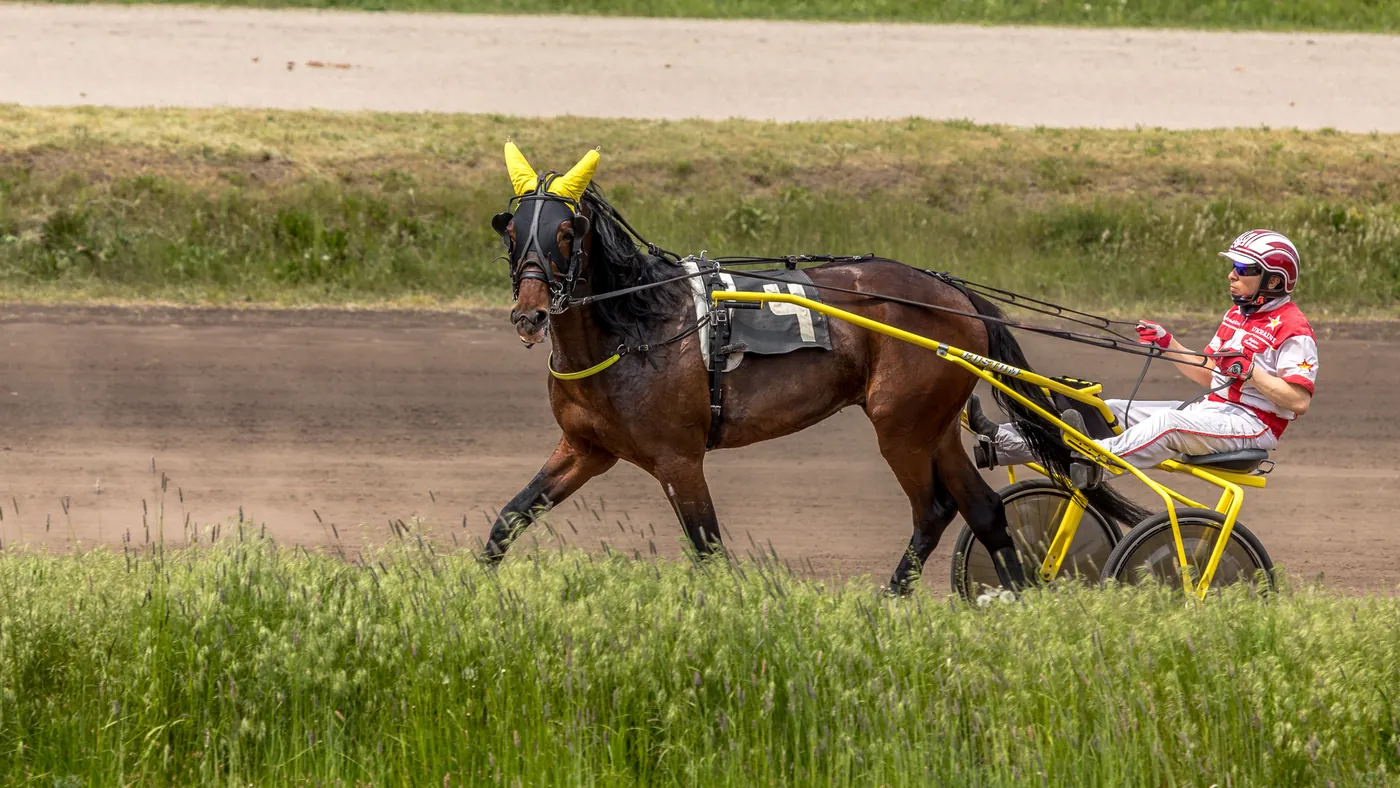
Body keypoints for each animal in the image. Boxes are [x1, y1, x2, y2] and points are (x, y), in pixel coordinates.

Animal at [483, 141, 1148, 592]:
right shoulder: (586, 448)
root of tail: (950, 292)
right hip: (933, 428)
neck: (637, 326)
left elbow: (708, 548)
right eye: (513, 232)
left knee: (934, 509)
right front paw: (474, 596)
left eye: (566, 232)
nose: (530, 315)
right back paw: (1007, 593)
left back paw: (897, 598)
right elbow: (508, 521)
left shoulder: (678, 459)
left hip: (901, 427)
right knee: (983, 510)